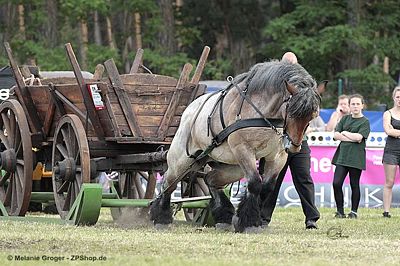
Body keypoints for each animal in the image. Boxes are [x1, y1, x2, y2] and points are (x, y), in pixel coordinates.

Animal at [150, 58, 324, 233]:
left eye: (312, 115)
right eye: (292, 112)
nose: (294, 146)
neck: (263, 113)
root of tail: (189, 110)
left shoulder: (278, 156)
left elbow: (267, 187)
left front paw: (251, 219)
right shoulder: (243, 149)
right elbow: (254, 183)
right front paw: (249, 222)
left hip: (231, 165)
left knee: (209, 179)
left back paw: (224, 216)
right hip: (183, 159)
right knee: (168, 183)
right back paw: (161, 217)